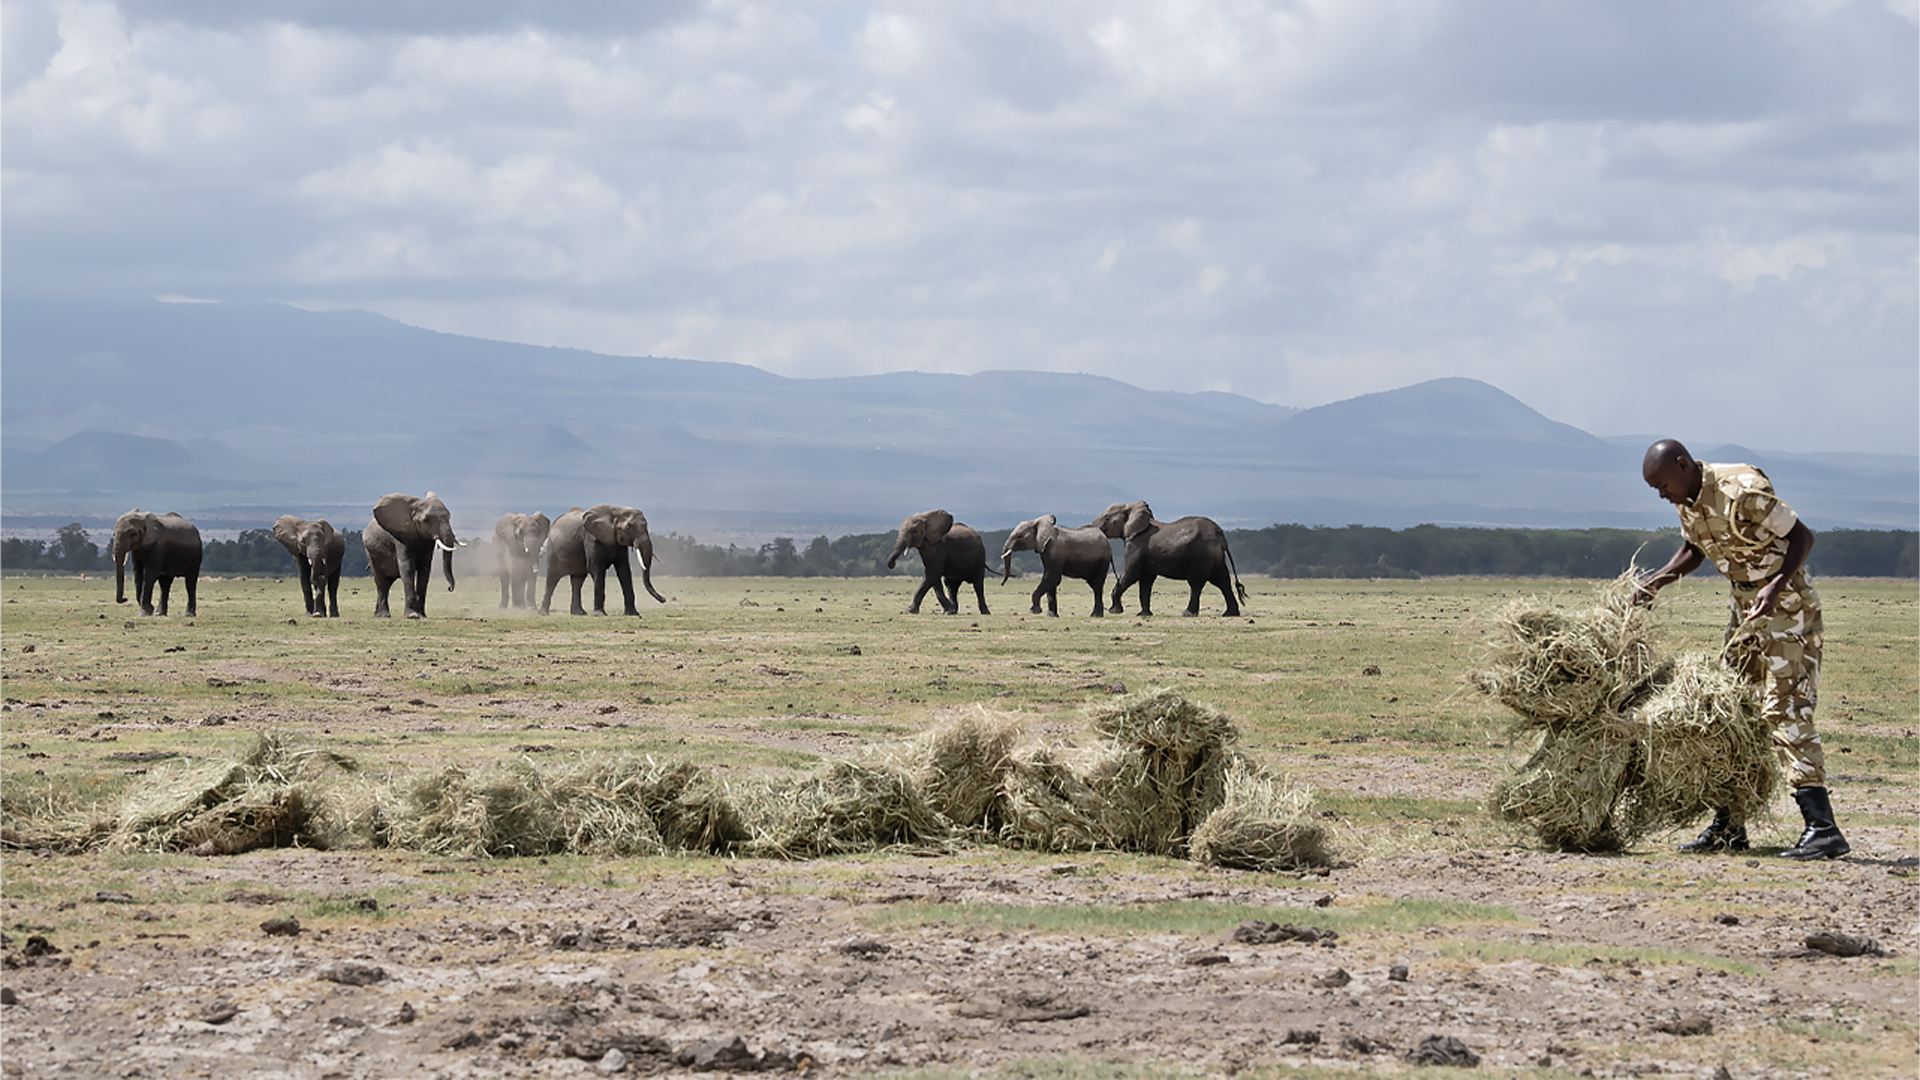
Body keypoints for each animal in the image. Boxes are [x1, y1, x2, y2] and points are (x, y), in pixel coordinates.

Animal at [1090, 499, 1251, 614]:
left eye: (1106, 518)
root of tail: (1222, 538)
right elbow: (1146, 581)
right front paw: (1144, 614)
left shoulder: (1135, 546)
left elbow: (1131, 575)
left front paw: (1114, 612)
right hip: (1215, 558)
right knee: (1223, 581)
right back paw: (1230, 613)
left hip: (1202, 556)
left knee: (1196, 583)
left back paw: (1188, 613)